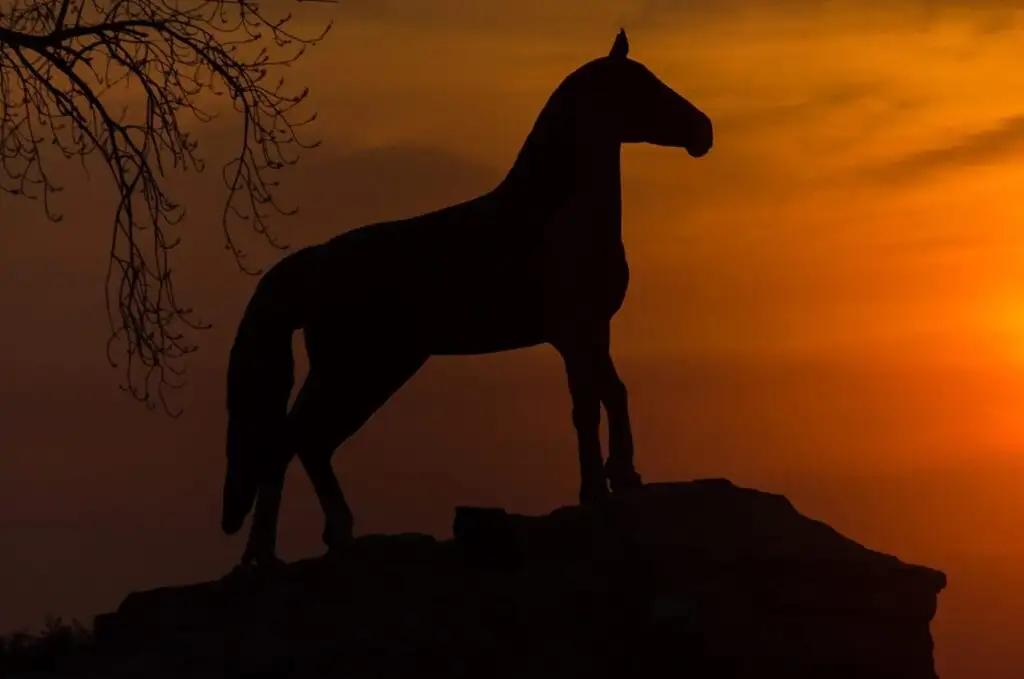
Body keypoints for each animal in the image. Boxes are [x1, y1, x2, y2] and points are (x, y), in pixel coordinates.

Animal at [220, 29, 713, 569]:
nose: (703, 131)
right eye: (642, 85)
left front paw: (616, 480)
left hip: (367, 369)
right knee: (296, 440)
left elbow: (605, 396)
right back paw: (290, 547)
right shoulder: (573, 332)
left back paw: (304, 544)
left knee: (302, 443)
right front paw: (603, 487)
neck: (555, 213)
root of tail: (314, 263)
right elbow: (592, 403)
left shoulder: (591, 332)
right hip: (358, 369)